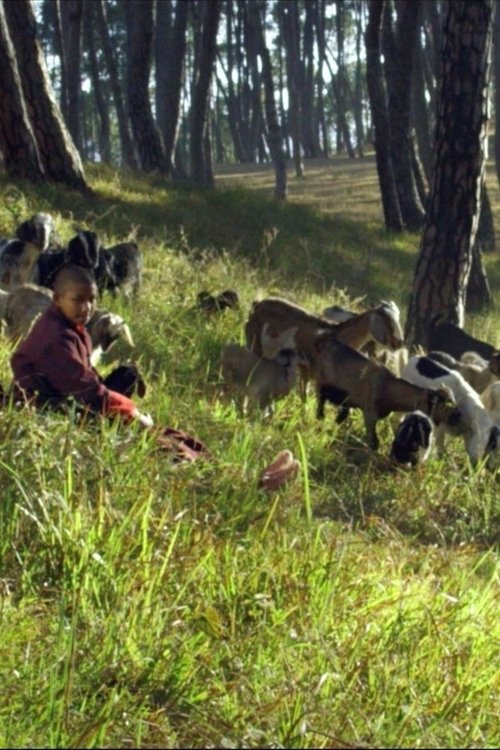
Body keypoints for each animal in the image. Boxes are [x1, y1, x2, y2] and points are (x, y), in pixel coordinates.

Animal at [311, 333, 459, 450]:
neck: (388, 387)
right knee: (320, 409)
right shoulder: (370, 414)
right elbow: (374, 443)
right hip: (320, 385)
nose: (457, 417)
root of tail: (325, 342)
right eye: (444, 405)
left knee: (340, 415)